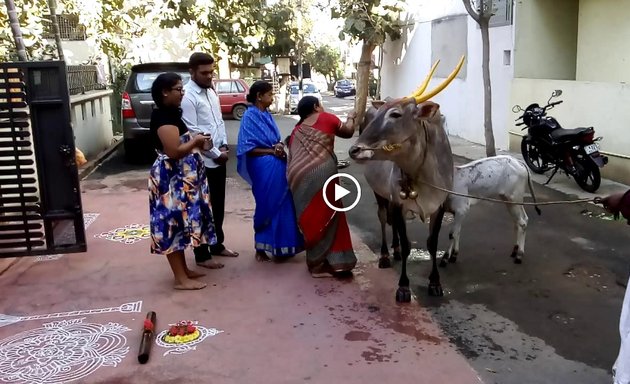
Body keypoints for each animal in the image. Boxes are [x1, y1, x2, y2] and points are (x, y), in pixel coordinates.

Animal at [348, 56, 466, 300]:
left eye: (395, 114)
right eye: (380, 114)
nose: (355, 150)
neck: (422, 176)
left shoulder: (439, 206)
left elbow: (432, 243)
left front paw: (435, 282)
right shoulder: (399, 202)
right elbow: (407, 242)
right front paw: (403, 286)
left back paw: (395, 250)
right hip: (380, 193)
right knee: (383, 217)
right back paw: (386, 254)